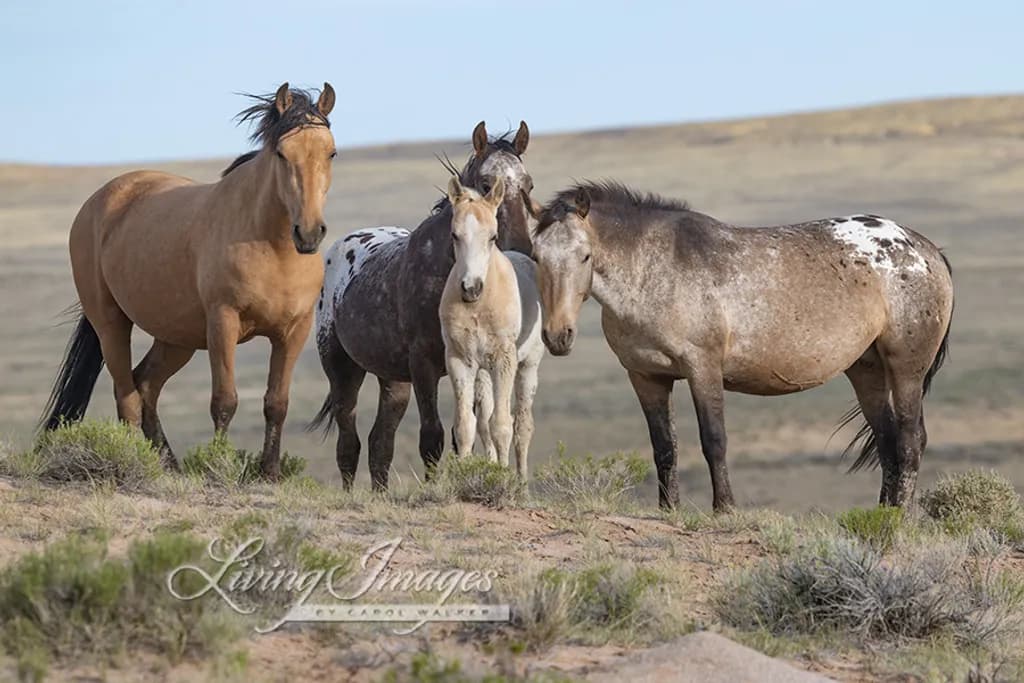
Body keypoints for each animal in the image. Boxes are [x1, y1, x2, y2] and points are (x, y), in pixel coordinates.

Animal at [40, 83, 337, 479]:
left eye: (331, 153)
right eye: (281, 153)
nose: (308, 233)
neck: (272, 247)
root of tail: (100, 201)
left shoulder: (293, 331)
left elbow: (277, 403)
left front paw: (270, 473)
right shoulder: (223, 323)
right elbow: (225, 401)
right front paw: (217, 464)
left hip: (177, 338)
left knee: (145, 386)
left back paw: (169, 463)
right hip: (112, 324)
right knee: (127, 396)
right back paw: (137, 462)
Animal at [440, 176, 544, 478]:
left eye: (492, 237)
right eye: (454, 235)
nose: (471, 288)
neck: (479, 308)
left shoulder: (504, 360)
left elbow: (503, 426)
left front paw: (504, 480)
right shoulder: (459, 360)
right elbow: (465, 426)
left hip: (527, 366)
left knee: (522, 426)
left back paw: (521, 482)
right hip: (483, 372)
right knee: (484, 421)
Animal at [528, 181, 953, 511]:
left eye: (585, 255)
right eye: (536, 256)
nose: (558, 335)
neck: (654, 270)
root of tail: (927, 249)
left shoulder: (702, 368)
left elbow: (714, 440)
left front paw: (725, 508)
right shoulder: (646, 377)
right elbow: (664, 446)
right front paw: (668, 509)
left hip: (906, 368)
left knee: (909, 441)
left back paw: (899, 518)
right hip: (866, 371)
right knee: (888, 441)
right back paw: (883, 514)